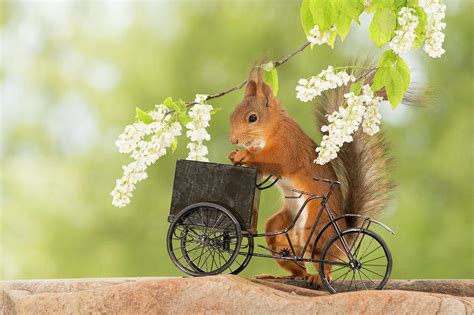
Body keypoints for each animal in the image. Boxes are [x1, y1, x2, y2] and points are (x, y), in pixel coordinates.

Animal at [230, 68, 392, 286]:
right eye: (232, 114)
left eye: (252, 118)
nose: (234, 140)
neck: (274, 128)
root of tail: (342, 240)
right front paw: (235, 155)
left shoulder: (288, 146)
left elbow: (276, 160)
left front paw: (244, 154)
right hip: (282, 225)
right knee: (295, 263)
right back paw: (280, 274)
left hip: (316, 228)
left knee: (325, 260)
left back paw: (319, 276)